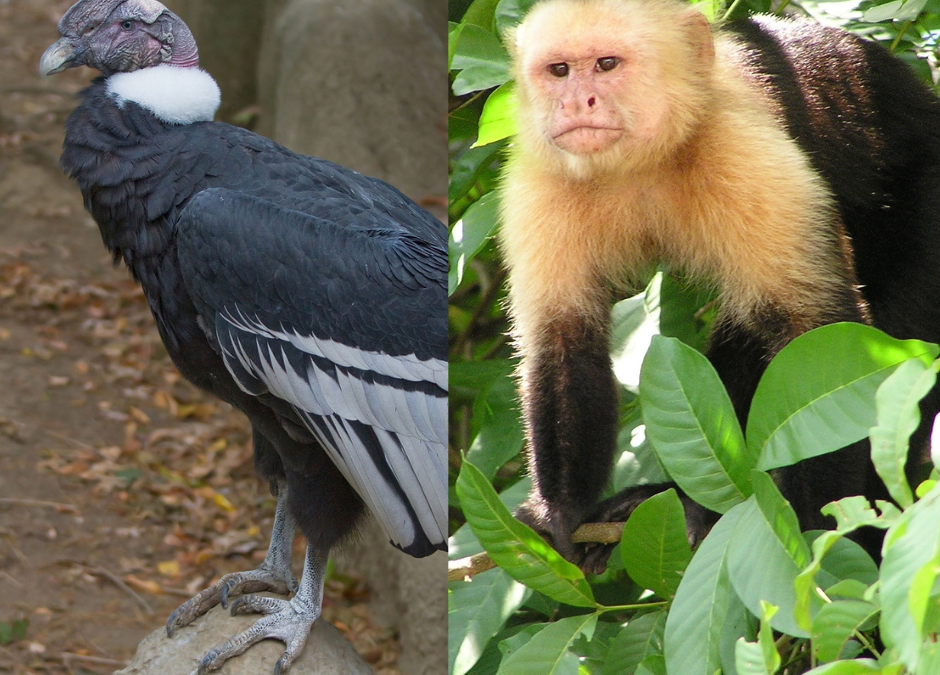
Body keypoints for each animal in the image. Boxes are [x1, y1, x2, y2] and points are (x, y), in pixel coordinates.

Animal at [497, 0, 940, 570]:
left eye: (606, 64)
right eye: (558, 71)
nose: (576, 101)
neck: (642, 163)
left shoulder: (743, 153)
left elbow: (820, 335)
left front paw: (816, 537)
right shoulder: (542, 176)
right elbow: (563, 340)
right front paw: (562, 514)